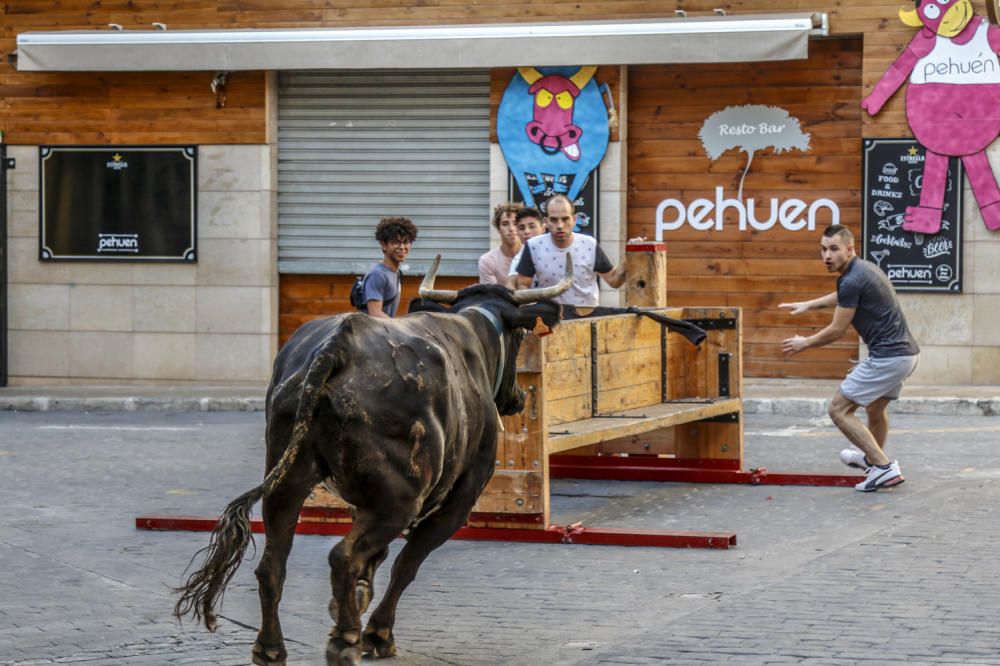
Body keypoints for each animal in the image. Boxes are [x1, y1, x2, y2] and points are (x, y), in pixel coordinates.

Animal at [174, 258, 572, 660]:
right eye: (520, 337)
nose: (518, 397)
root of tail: (340, 344)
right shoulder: (458, 500)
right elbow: (406, 564)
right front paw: (377, 632)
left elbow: (376, 557)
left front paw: (352, 600)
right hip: (400, 501)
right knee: (343, 557)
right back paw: (346, 637)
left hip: (287, 482)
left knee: (273, 564)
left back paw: (271, 648)